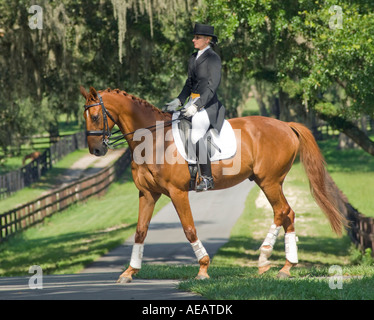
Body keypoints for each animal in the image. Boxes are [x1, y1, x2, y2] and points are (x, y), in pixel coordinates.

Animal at [80, 85, 346, 282]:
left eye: (95, 116)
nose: (96, 150)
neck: (153, 140)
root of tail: (286, 125)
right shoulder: (147, 193)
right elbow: (140, 231)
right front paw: (129, 272)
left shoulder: (177, 193)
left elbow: (189, 229)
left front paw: (203, 269)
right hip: (272, 182)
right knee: (288, 213)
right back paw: (286, 267)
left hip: (268, 181)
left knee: (281, 211)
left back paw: (263, 259)